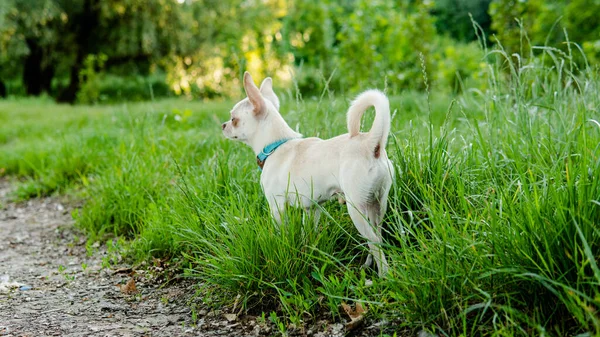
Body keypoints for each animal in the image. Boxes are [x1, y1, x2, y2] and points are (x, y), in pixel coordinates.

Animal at [220, 71, 394, 276]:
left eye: (234, 119)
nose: (223, 125)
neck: (276, 146)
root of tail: (371, 144)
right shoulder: (313, 208)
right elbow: (307, 233)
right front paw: (305, 251)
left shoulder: (277, 206)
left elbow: (282, 231)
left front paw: (283, 247)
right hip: (378, 204)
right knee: (378, 235)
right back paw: (369, 264)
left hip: (357, 208)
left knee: (374, 242)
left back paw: (384, 275)